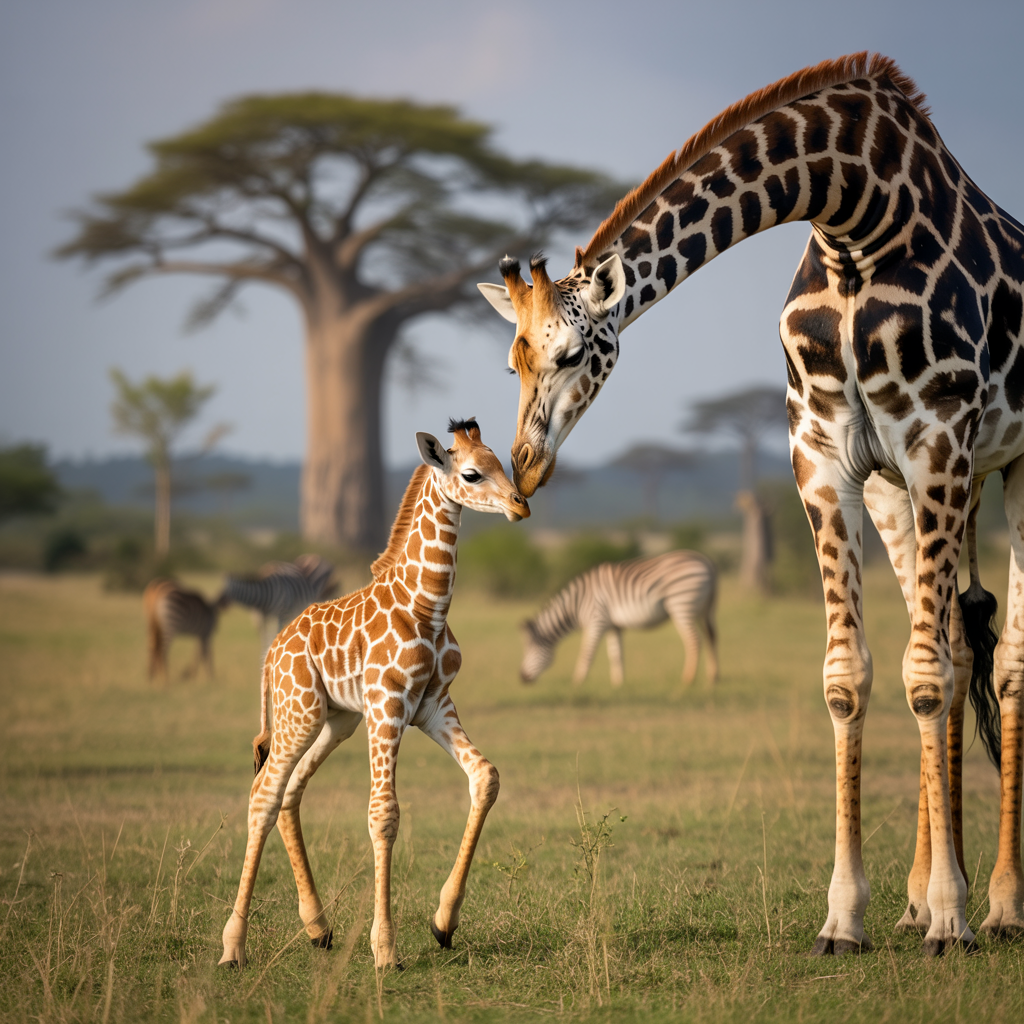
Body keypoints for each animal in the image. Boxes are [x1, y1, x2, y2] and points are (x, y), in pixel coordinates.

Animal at [219, 419, 529, 970]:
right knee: (263, 794)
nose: (520, 505)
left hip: (336, 720)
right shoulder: (388, 705)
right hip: (298, 714)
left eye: (502, 463)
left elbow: (485, 777)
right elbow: (384, 813)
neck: (427, 606)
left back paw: (318, 928)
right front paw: (385, 950)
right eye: (471, 473)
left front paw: (443, 922)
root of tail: (272, 653)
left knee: (289, 791)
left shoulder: (434, 705)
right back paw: (233, 946)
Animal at [477, 52, 1024, 956]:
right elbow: (853, 677)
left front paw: (954, 918)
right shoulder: (827, 460)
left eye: (570, 353)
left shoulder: (937, 439)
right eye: (512, 359)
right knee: (952, 647)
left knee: (1005, 664)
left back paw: (1002, 906)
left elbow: (924, 677)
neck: (854, 218)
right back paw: (920, 901)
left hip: (1009, 467)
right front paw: (849, 917)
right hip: (910, 494)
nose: (523, 466)